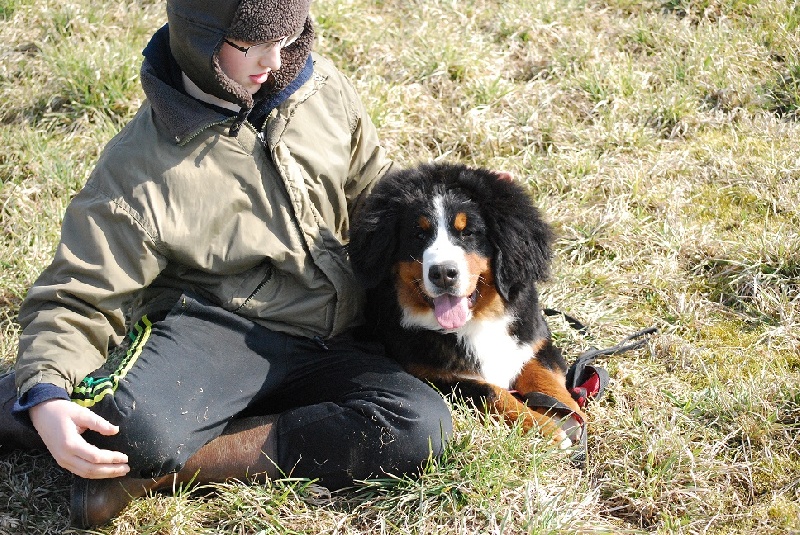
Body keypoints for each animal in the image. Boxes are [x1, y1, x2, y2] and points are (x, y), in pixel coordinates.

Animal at [350, 163, 588, 448]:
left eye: (468, 232)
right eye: (418, 234)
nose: (443, 273)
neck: (475, 322)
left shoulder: (533, 338)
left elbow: (544, 374)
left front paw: (566, 412)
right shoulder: (433, 375)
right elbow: (489, 391)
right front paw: (544, 428)